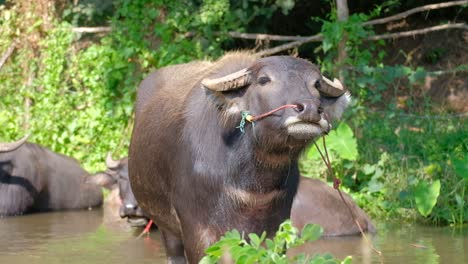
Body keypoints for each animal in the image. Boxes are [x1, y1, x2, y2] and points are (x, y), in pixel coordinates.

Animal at [128, 51, 352, 262]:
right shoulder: (199, 232)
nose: (310, 109)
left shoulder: (274, 228)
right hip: (166, 227)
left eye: (316, 84)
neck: (252, 183)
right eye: (264, 80)